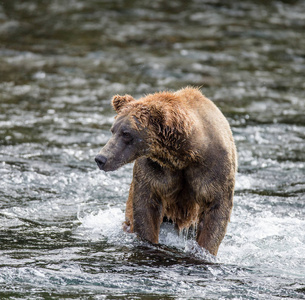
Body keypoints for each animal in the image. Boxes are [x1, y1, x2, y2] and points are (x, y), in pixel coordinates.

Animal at [95, 86, 238, 255]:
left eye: (126, 133)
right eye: (113, 130)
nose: (101, 158)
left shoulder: (214, 169)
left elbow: (215, 211)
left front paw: (203, 250)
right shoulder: (154, 170)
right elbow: (146, 207)